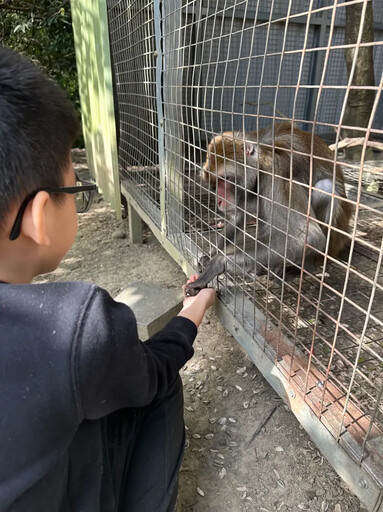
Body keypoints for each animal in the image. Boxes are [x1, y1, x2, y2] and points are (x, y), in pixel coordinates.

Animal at [186, 122, 354, 296]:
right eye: (214, 182)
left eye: (224, 179)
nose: (219, 200)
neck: (262, 161)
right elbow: (238, 216)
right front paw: (211, 254)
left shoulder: (275, 173)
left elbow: (309, 237)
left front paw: (218, 262)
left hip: (334, 241)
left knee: (325, 187)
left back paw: (306, 268)